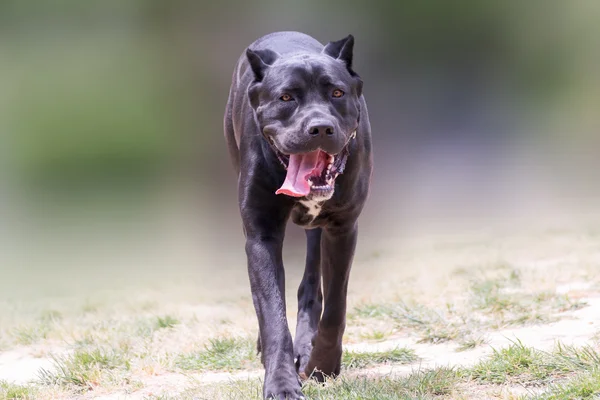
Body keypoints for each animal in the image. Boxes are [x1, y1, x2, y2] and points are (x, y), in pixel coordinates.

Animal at [224, 32, 370, 400]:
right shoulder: (261, 235)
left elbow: (335, 306)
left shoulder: (342, 227)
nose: (320, 128)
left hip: (319, 232)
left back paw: (306, 347)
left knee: (311, 286)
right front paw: (281, 383)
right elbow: (273, 314)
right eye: (286, 97)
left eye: (337, 93)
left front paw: (323, 364)